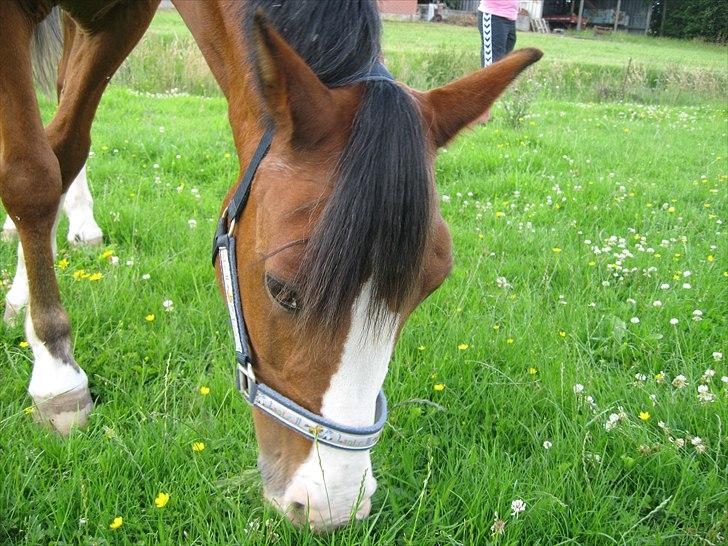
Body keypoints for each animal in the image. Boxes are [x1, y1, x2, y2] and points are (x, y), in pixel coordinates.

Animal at [0, 0, 540, 528]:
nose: (332, 507)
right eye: (282, 289)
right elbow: (35, 173)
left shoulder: (119, 20)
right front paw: (56, 371)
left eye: (429, 287)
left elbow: (66, 148)